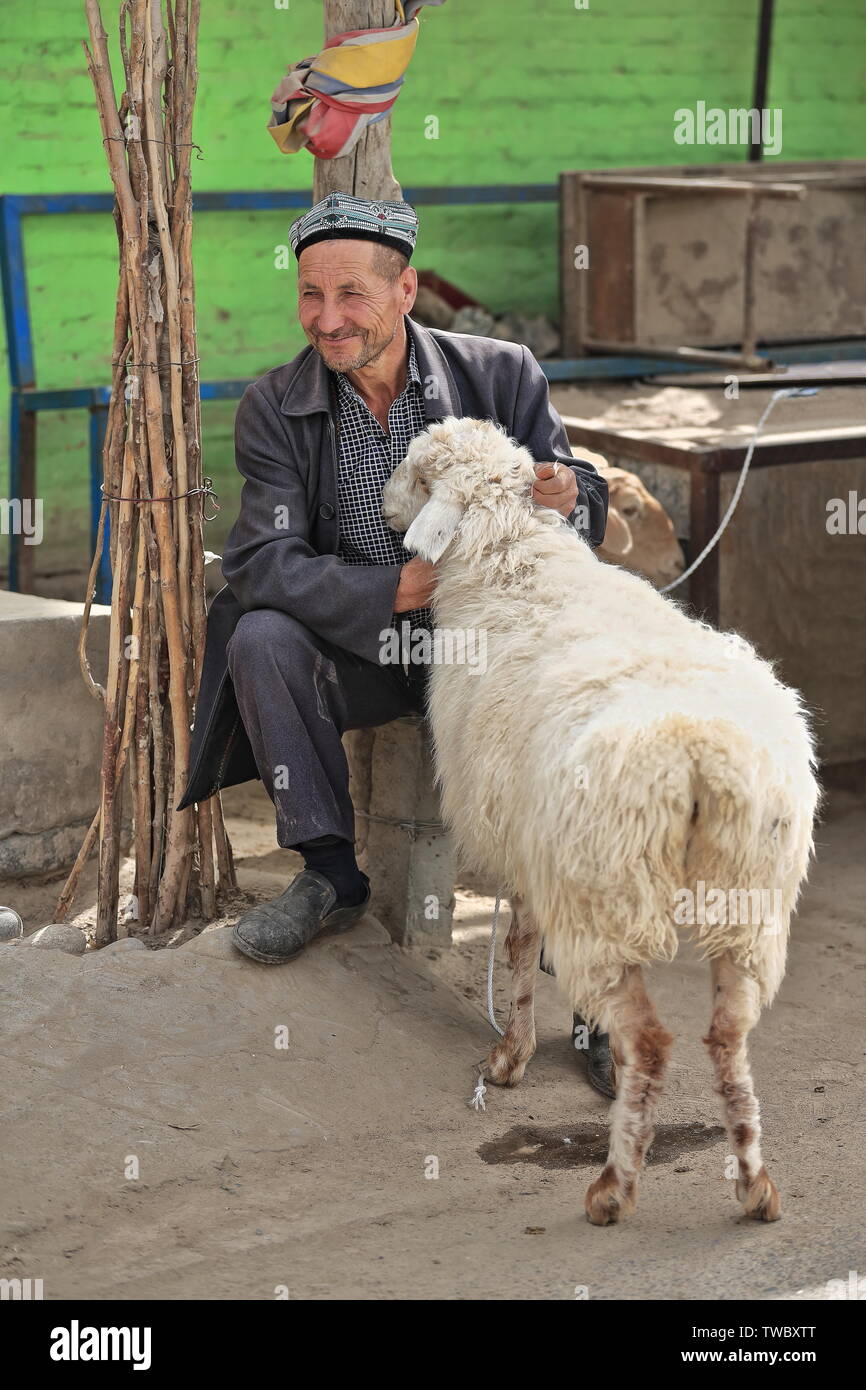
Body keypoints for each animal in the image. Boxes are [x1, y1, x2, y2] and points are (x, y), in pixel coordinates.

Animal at [383, 411, 822, 1228]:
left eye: (419, 474)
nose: (388, 509)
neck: (510, 564)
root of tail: (697, 752)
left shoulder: (524, 846)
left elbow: (519, 949)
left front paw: (511, 1057)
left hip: (607, 887)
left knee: (651, 1042)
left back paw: (615, 1185)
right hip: (751, 894)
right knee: (728, 1039)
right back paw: (754, 1187)